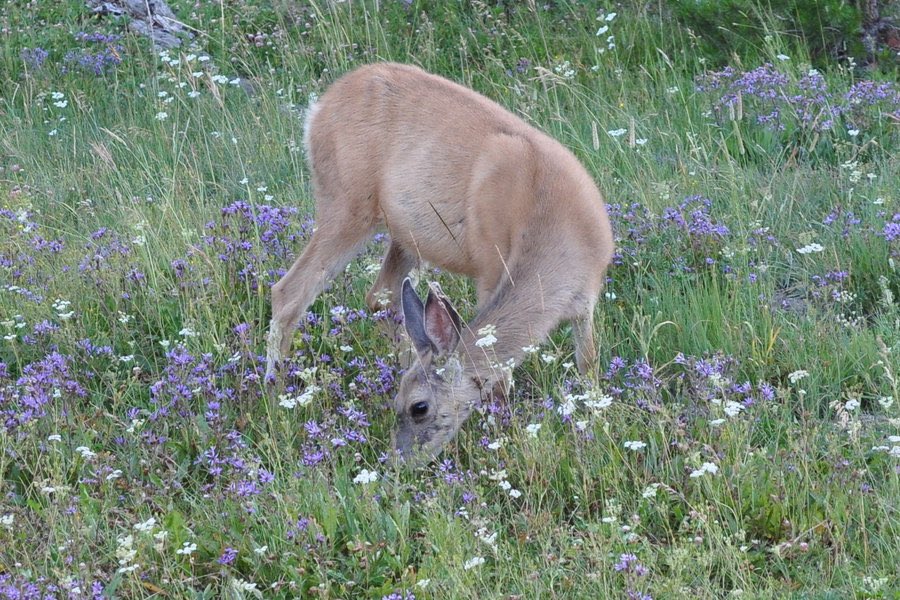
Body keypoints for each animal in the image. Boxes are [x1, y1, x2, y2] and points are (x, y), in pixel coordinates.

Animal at [268, 63, 616, 460]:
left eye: (418, 407)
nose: (398, 460)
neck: (553, 225)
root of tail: (318, 110)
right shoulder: (489, 269)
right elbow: (499, 374)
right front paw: (502, 436)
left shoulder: (586, 298)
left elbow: (588, 363)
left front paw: (595, 417)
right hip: (346, 204)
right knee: (289, 291)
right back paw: (275, 393)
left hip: (403, 233)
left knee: (381, 296)